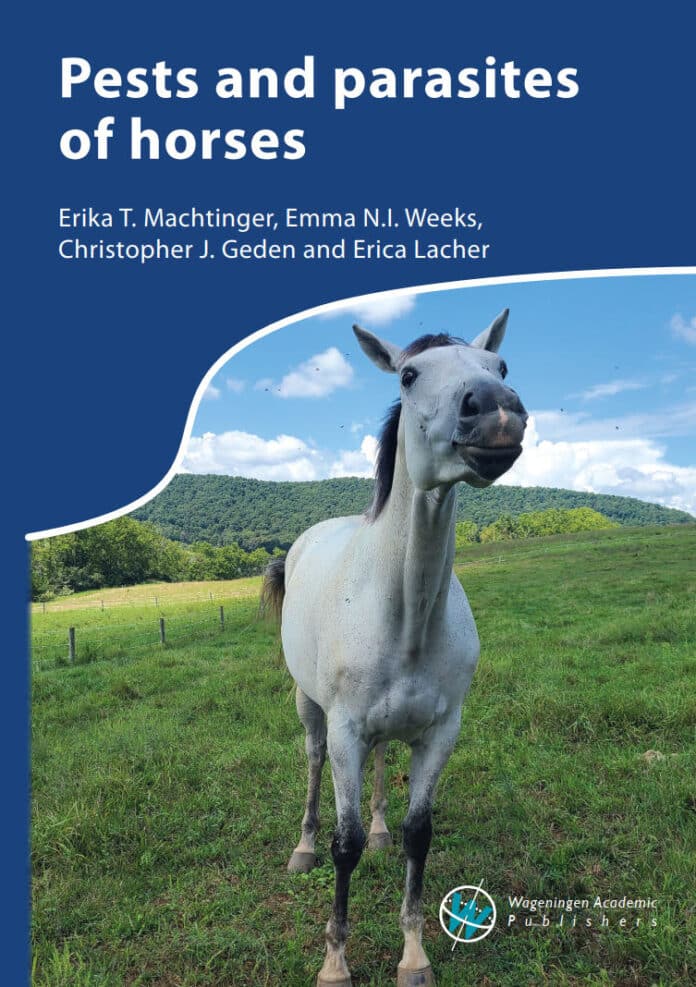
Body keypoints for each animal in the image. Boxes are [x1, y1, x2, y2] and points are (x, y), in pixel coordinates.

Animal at [261, 309, 527, 986]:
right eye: (408, 376)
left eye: (500, 367)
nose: (495, 410)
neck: (403, 614)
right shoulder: (345, 731)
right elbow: (345, 845)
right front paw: (334, 960)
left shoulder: (440, 733)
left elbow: (418, 833)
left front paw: (414, 954)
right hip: (310, 708)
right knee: (311, 763)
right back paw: (301, 846)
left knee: (383, 766)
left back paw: (379, 829)